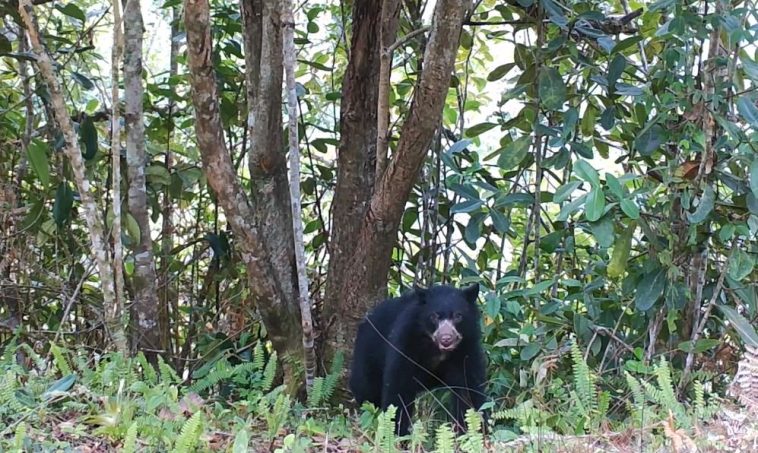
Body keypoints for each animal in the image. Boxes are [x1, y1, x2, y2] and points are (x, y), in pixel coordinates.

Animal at [348, 282, 486, 434]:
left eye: (458, 315)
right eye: (434, 316)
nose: (446, 339)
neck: (436, 349)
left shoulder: (466, 348)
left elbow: (468, 389)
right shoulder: (405, 344)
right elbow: (398, 388)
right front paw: (398, 432)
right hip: (368, 356)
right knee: (364, 388)